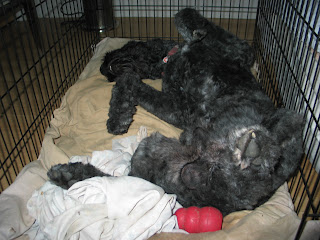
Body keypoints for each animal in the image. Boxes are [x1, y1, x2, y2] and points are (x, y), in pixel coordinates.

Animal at [48, 7, 304, 216]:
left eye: (128, 45)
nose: (103, 67)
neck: (170, 59)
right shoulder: (178, 107)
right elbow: (128, 79)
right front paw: (118, 116)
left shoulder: (237, 54)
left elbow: (184, 15)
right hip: (150, 152)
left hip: (288, 119)